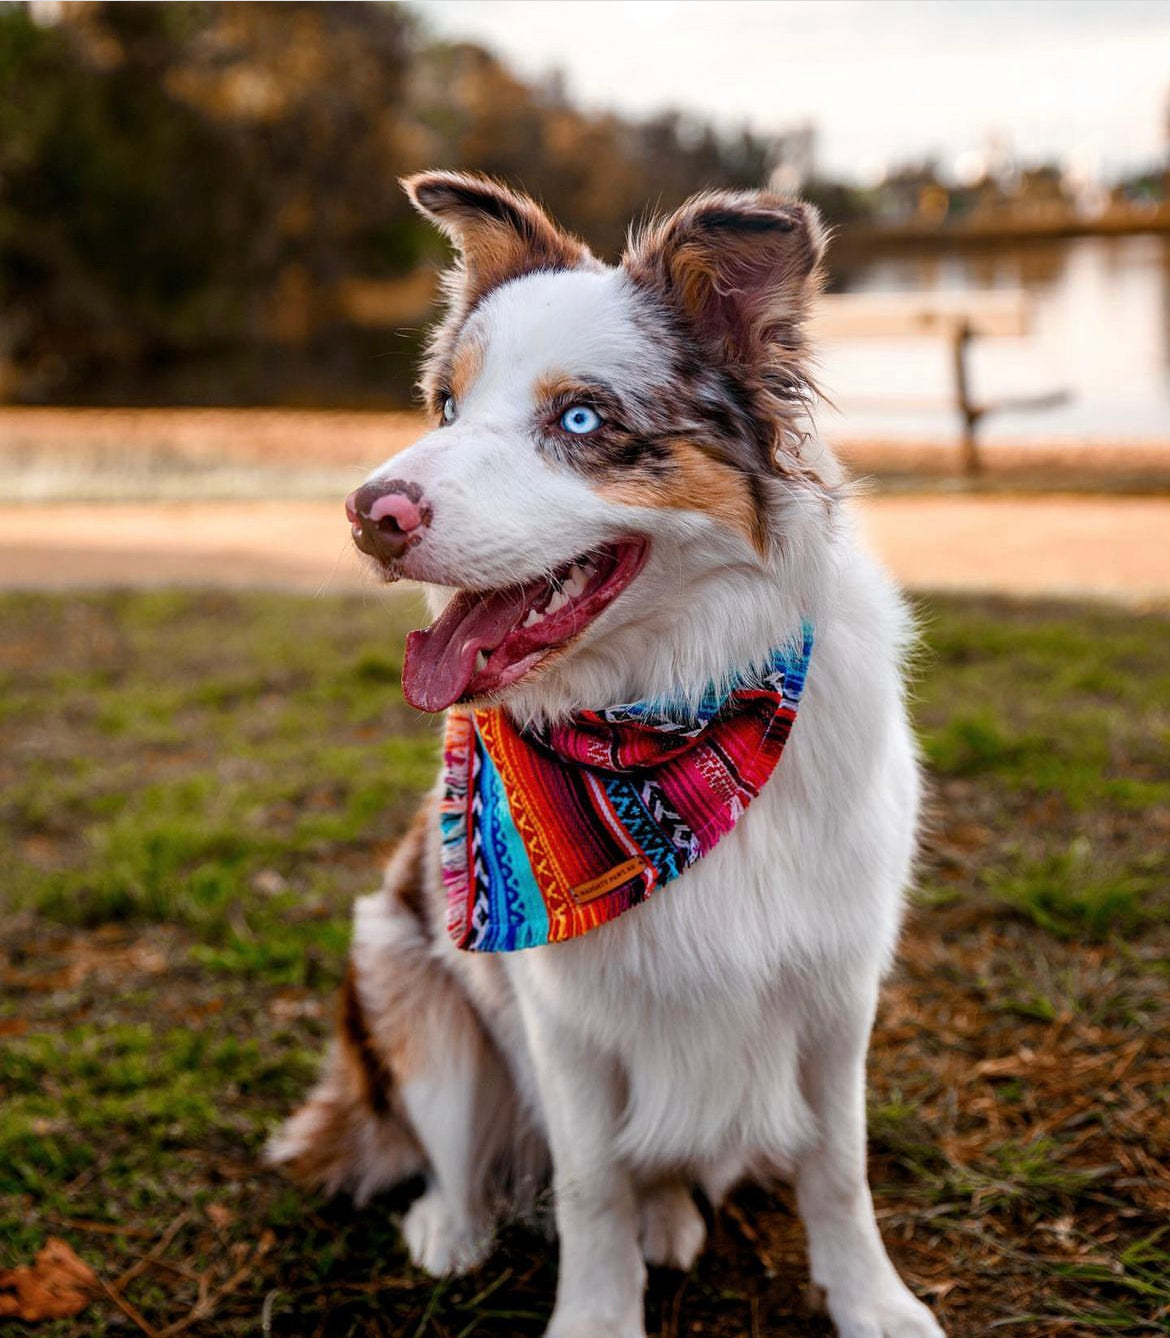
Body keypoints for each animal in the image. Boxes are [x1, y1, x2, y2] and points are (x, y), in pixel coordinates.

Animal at [269, 169, 942, 1338]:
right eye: (446, 408)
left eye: (580, 418)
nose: (366, 515)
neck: (659, 725)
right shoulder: (562, 1018)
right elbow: (591, 1188)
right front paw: (596, 1313)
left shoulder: (834, 989)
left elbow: (838, 1169)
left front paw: (874, 1305)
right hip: (403, 971)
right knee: (457, 1154)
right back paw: (452, 1226)